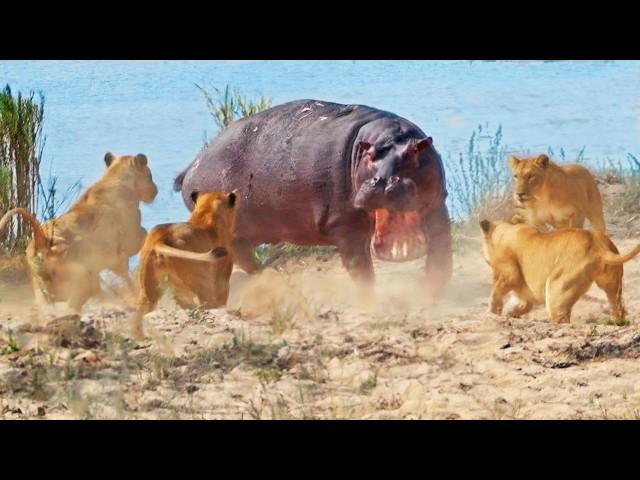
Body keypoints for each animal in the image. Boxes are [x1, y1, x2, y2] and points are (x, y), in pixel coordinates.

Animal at [0, 153, 158, 316]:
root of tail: (40, 238)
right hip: (83, 277)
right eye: (150, 175)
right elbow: (143, 238)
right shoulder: (127, 242)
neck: (115, 178)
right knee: (73, 306)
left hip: (43, 290)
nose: (155, 190)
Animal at [129, 189, 239, 340]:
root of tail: (160, 238)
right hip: (203, 284)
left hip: (148, 293)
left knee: (138, 316)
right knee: (207, 307)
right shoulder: (222, 282)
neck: (206, 214)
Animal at [175, 99, 452, 298]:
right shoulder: (345, 226)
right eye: (370, 155)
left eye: (415, 153)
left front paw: (431, 292)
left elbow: (441, 253)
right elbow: (360, 268)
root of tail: (193, 164)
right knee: (240, 259)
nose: (382, 181)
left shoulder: (437, 207)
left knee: (246, 258)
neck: (389, 136)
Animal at [480, 219, 640, 324]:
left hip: (557, 291)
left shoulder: (511, 274)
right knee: (618, 308)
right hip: (612, 285)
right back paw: (617, 323)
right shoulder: (523, 293)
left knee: (562, 317)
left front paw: (492, 312)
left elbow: (496, 293)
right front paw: (509, 314)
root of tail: (596, 243)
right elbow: (518, 304)